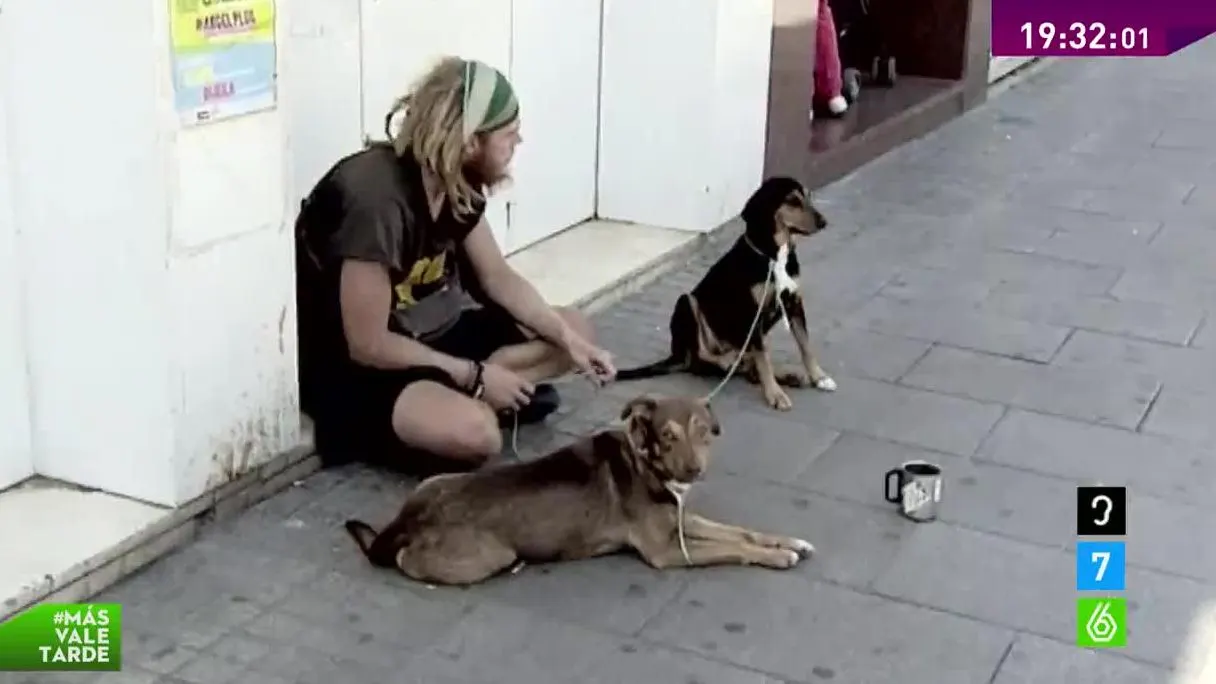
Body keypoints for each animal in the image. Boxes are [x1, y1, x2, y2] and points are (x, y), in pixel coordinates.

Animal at [345, 391, 817, 584]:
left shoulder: (680, 521)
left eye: (703, 432)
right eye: (668, 436)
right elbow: (731, 547)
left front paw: (789, 542)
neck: (646, 465)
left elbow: (739, 532)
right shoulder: (665, 551)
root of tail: (408, 521)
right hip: (490, 556)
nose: (694, 470)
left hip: (434, 481)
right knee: (403, 561)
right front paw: (776, 558)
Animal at [617, 176, 836, 408]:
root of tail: (678, 356)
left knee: (748, 367)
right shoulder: (752, 313)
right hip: (686, 302)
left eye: (808, 196)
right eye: (792, 200)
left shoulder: (794, 303)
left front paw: (819, 377)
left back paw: (787, 375)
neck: (774, 256)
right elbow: (764, 357)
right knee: (706, 360)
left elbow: (805, 345)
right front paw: (775, 394)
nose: (823, 222)